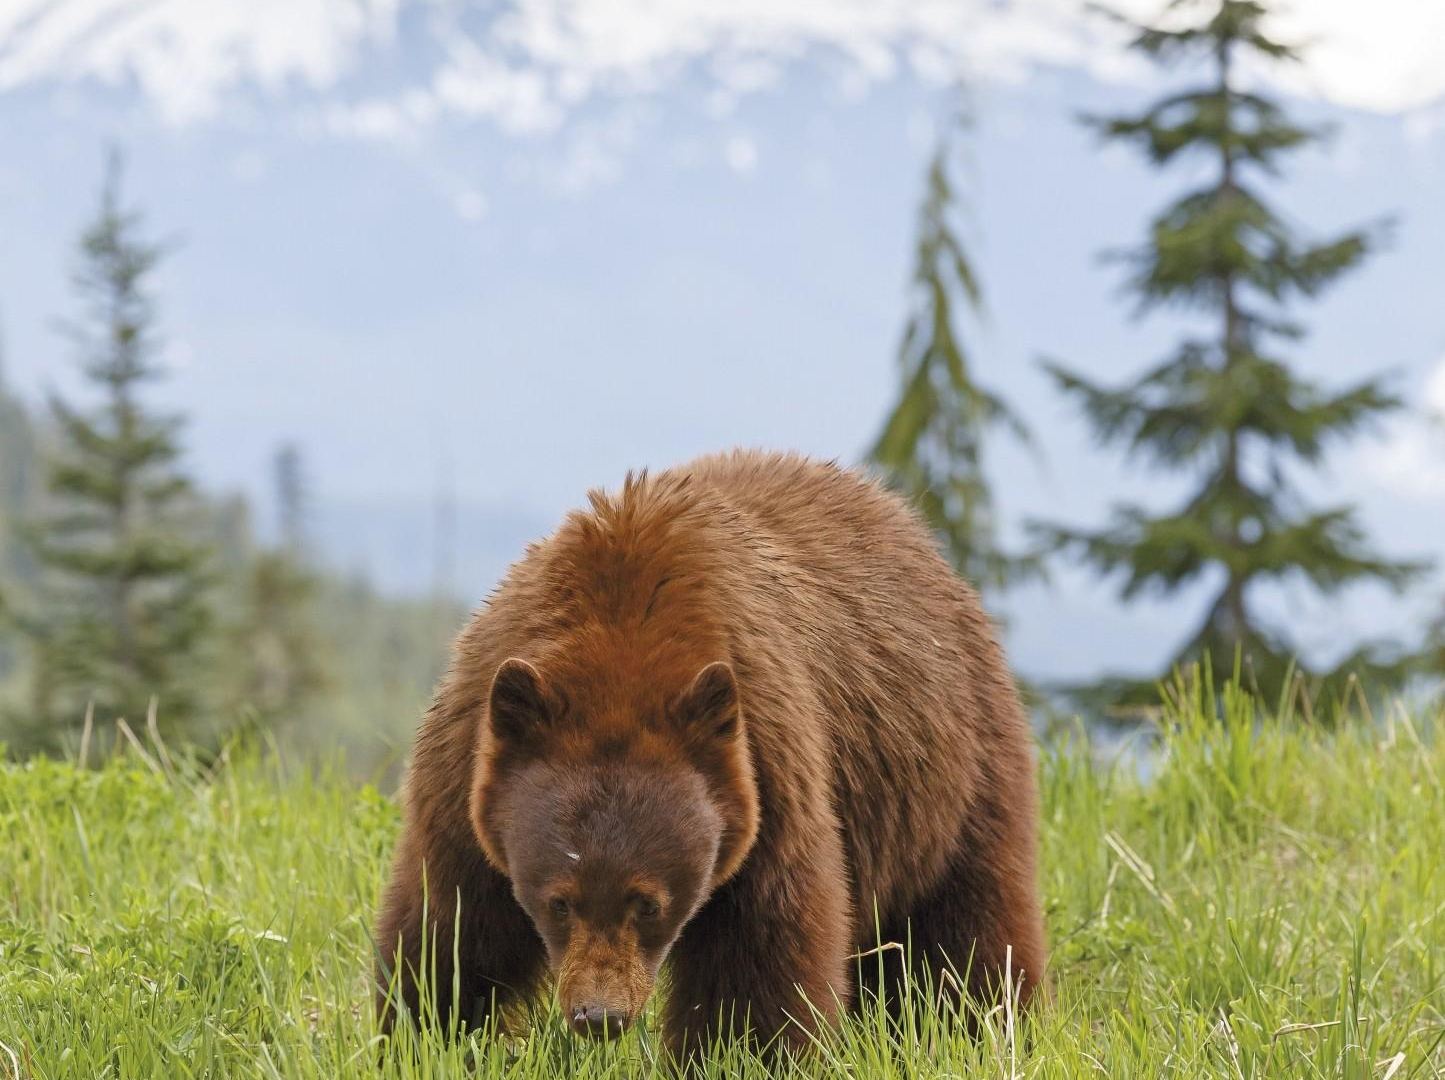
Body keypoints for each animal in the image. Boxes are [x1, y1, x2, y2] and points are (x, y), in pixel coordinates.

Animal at [375, 449, 1046, 1059]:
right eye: (558, 900)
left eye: (648, 903)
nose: (600, 1016)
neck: (618, 644)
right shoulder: (469, 765)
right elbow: (451, 924)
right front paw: (420, 1031)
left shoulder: (768, 770)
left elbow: (761, 953)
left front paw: (742, 1051)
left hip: (953, 771)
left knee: (968, 930)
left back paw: (986, 1026)